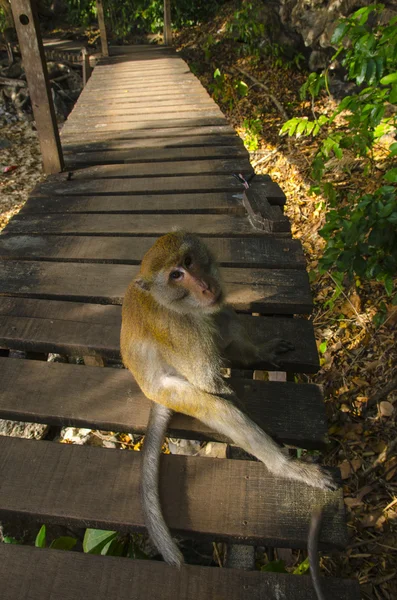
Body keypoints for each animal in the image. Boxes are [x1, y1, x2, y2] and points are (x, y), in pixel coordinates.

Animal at [120, 233, 334, 568]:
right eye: (176, 276)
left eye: (189, 261)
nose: (205, 286)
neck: (176, 305)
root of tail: (149, 391)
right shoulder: (182, 334)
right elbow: (211, 385)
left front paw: (259, 352)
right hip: (174, 393)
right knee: (217, 406)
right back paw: (286, 467)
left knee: (223, 317)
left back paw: (254, 352)